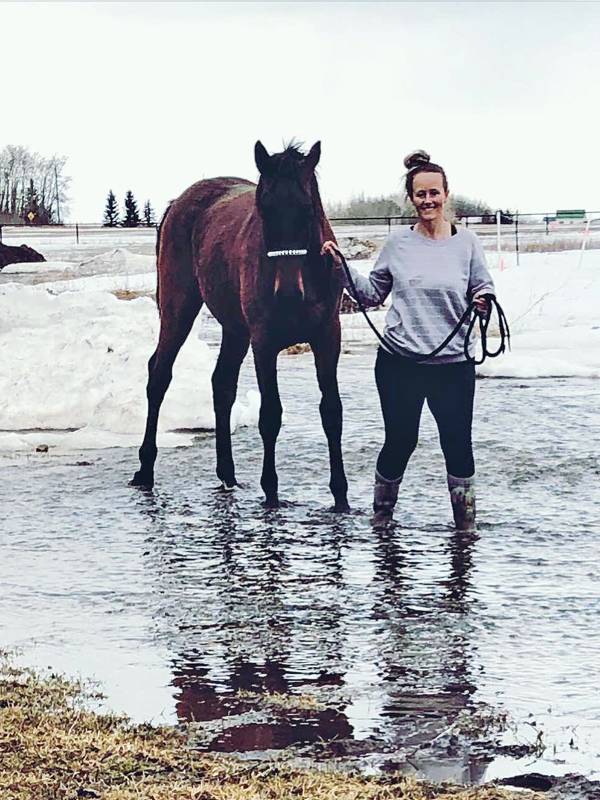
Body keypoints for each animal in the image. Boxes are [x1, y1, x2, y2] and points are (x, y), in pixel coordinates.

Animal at [130, 141, 349, 512]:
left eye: (306, 210)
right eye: (263, 210)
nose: (287, 292)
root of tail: (178, 203)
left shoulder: (327, 338)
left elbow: (331, 411)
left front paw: (341, 496)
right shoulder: (264, 342)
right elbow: (270, 415)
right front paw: (271, 492)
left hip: (234, 330)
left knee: (222, 385)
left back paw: (227, 475)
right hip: (179, 309)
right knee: (158, 375)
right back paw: (145, 470)